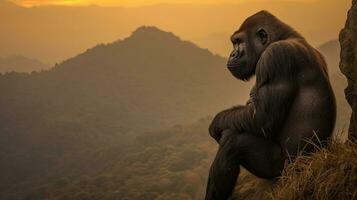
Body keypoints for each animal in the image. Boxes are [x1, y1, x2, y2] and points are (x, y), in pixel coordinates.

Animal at [204, 10, 336, 200]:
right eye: (234, 43)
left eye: (238, 42)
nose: (232, 54)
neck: (286, 37)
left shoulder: (275, 57)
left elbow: (261, 119)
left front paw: (217, 122)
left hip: (284, 171)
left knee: (233, 142)